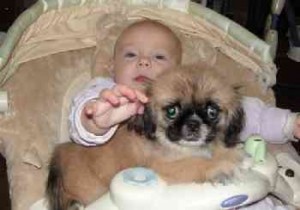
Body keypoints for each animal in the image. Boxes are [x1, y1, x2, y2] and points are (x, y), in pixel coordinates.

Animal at [46, 64, 244, 210]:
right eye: (172, 111)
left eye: (212, 111)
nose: (193, 124)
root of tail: (60, 154)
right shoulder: (164, 166)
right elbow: (196, 163)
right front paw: (220, 167)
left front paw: (231, 154)